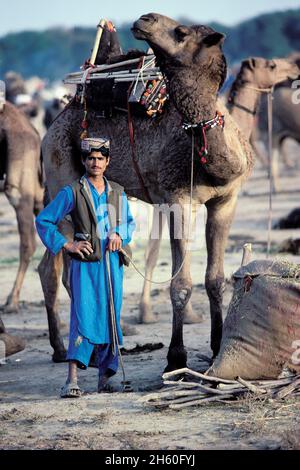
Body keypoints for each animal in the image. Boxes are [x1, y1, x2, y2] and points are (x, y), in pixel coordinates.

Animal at [39, 12, 258, 370]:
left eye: (181, 32)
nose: (145, 19)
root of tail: (55, 121)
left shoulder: (226, 200)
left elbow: (214, 279)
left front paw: (216, 347)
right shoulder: (177, 199)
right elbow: (181, 284)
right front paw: (176, 358)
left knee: (56, 266)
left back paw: (69, 348)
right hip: (61, 175)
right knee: (66, 267)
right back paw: (82, 350)